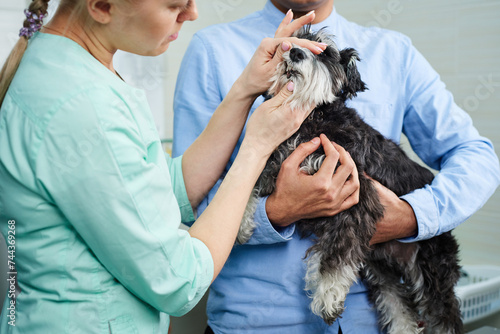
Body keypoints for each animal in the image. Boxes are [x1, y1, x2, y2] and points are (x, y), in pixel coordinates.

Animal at [236, 26, 462, 334]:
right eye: (292, 42)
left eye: (326, 54)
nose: (295, 53)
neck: (312, 117)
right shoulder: (278, 165)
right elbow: (250, 183)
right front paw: (241, 225)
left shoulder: (355, 195)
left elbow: (335, 257)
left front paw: (326, 299)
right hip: (379, 269)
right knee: (397, 306)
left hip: (432, 272)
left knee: (444, 315)